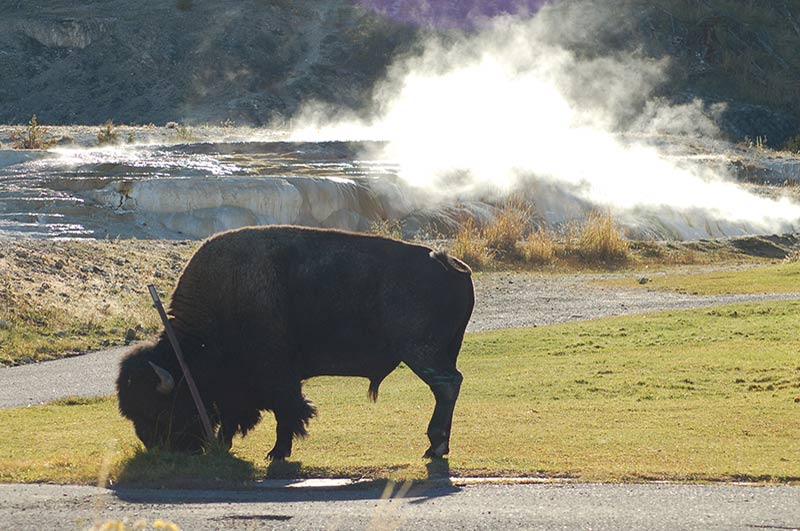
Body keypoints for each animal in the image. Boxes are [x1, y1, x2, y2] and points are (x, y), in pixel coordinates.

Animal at [115, 224, 472, 462]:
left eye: (160, 409)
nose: (161, 449)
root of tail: (452, 265)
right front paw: (235, 444)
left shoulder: (276, 377)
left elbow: (286, 411)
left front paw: (276, 452)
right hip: (439, 352)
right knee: (449, 387)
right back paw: (437, 447)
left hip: (421, 352)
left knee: (448, 385)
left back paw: (434, 447)